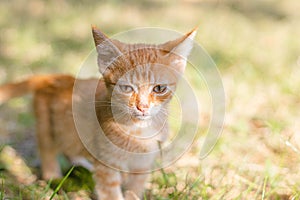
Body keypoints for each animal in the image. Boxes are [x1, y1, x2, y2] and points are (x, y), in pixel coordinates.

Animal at [0, 25, 197, 199]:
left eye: (159, 88)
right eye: (126, 88)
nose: (142, 107)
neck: (138, 131)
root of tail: (53, 77)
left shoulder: (142, 166)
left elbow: (134, 189)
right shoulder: (106, 165)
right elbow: (111, 193)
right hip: (47, 127)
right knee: (47, 149)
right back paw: (54, 177)